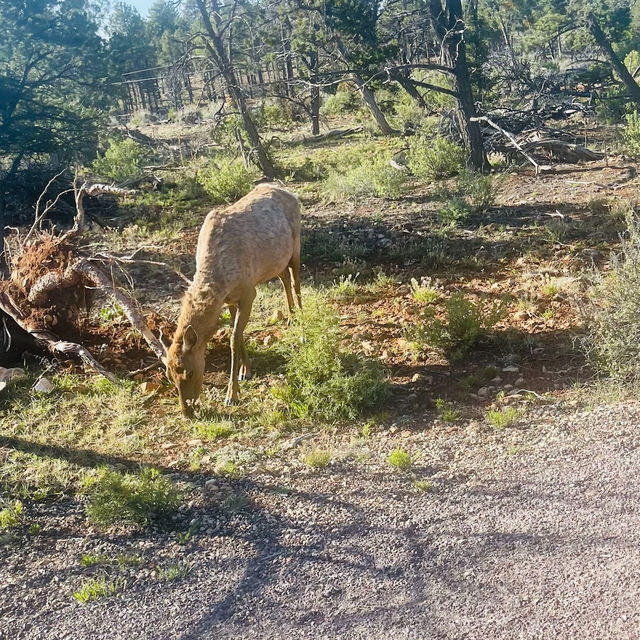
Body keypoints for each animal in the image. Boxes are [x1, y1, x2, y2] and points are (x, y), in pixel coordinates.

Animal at [160, 182, 300, 418]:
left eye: (189, 372)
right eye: (169, 375)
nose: (187, 412)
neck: (219, 281)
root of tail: (288, 191)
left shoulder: (248, 292)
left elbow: (233, 338)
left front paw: (232, 394)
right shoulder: (230, 300)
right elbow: (239, 335)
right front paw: (246, 371)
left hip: (297, 246)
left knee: (296, 281)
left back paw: (303, 323)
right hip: (277, 260)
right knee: (284, 278)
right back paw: (291, 317)